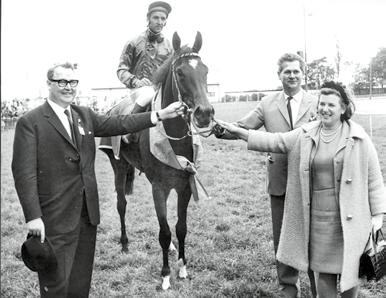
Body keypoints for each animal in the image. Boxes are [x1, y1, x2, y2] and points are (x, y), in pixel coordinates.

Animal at [99, 31, 214, 290]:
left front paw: (182, 268)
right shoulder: (158, 188)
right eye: (180, 72)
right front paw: (165, 275)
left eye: (205, 70)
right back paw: (124, 243)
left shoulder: (184, 186)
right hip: (118, 166)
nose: (204, 113)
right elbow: (164, 232)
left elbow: (180, 228)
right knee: (121, 204)